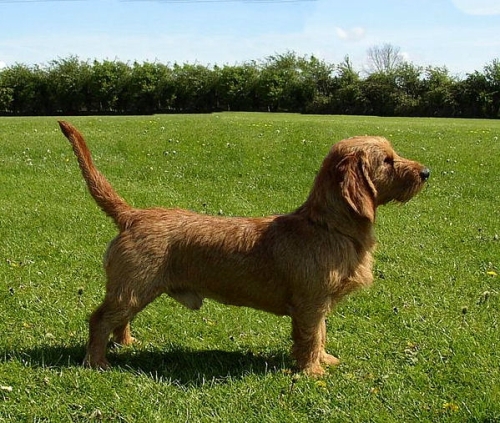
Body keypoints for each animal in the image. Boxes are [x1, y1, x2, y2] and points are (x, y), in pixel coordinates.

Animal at [56, 121, 428, 376]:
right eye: (388, 160)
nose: (426, 172)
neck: (327, 226)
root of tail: (133, 214)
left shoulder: (318, 304)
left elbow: (320, 335)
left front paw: (324, 360)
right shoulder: (311, 303)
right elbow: (310, 337)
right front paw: (312, 372)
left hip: (136, 291)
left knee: (119, 320)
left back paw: (126, 343)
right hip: (131, 290)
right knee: (99, 319)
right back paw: (97, 361)